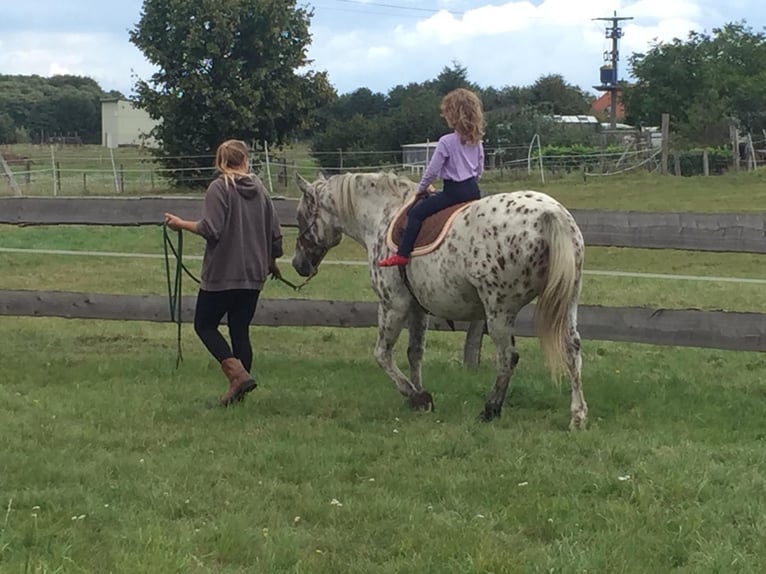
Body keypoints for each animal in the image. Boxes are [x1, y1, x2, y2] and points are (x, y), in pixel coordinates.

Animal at [294, 169, 588, 430]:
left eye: (300, 216)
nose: (299, 264)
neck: (382, 215)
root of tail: (551, 214)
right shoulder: (417, 308)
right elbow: (415, 352)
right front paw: (420, 396)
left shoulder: (392, 304)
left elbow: (382, 354)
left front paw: (416, 396)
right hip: (567, 299)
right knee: (572, 346)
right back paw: (577, 416)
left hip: (499, 310)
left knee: (508, 357)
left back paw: (491, 409)